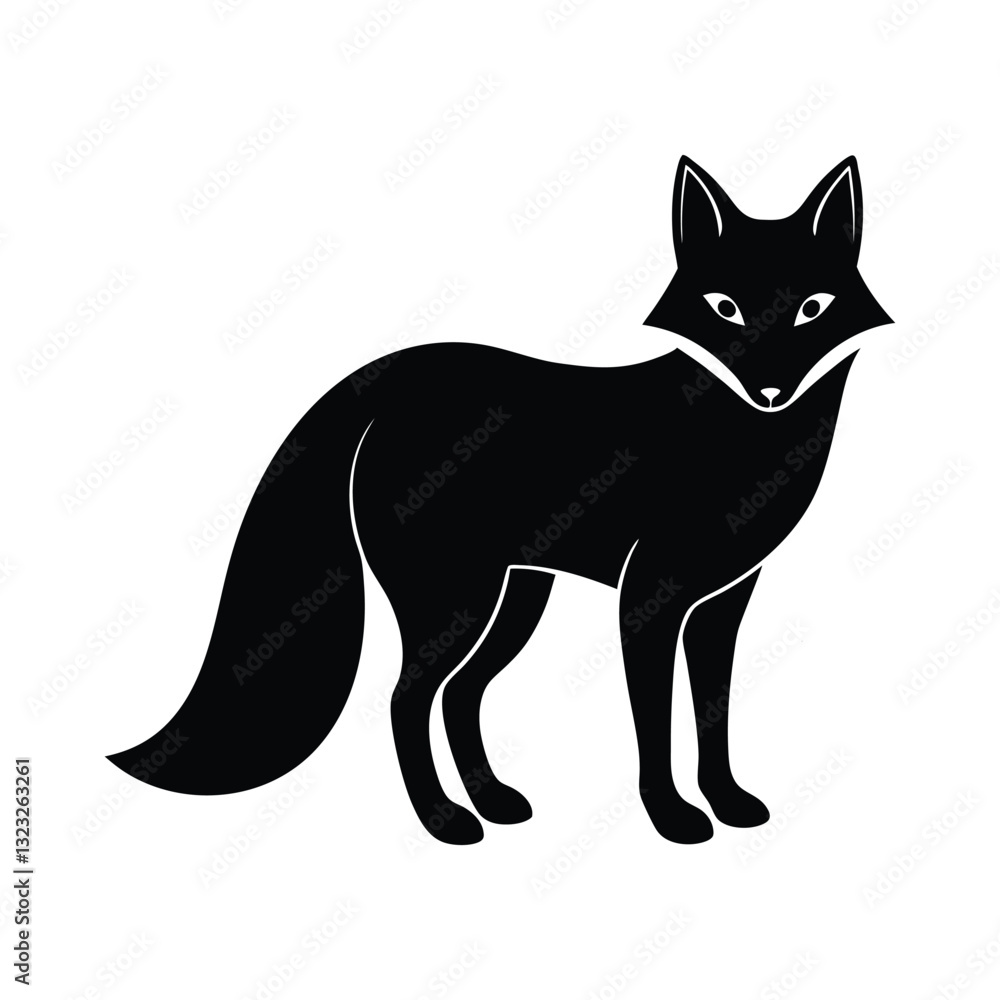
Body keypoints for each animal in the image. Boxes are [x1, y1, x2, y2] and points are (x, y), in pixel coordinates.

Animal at [108, 155, 891, 845]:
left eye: (812, 308)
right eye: (724, 307)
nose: (770, 390)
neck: (737, 441)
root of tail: (390, 379)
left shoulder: (724, 602)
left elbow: (713, 712)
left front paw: (727, 802)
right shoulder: (649, 598)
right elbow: (655, 721)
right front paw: (672, 818)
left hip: (514, 599)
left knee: (460, 694)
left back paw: (494, 802)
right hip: (456, 601)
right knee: (406, 698)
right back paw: (445, 822)